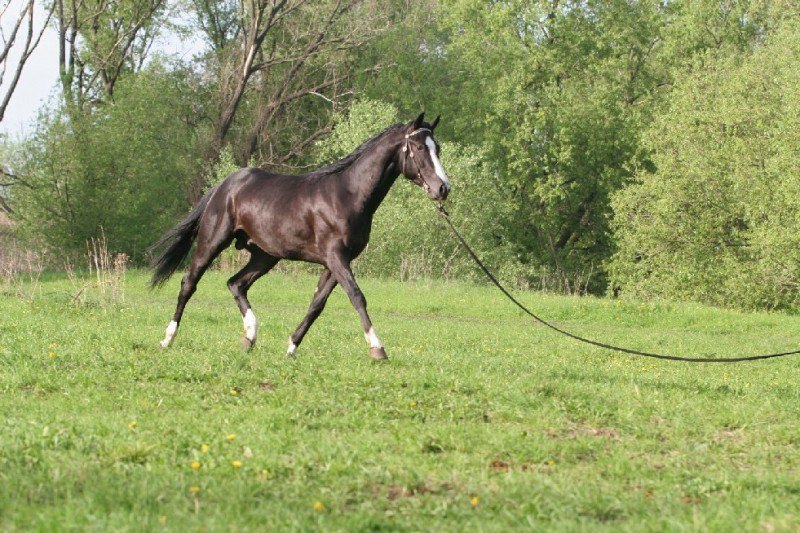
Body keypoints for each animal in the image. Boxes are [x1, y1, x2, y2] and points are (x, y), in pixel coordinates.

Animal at [148, 114, 450, 360]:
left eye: (438, 148)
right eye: (420, 148)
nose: (443, 188)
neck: (347, 195)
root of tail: (223, 186)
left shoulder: (334, 263)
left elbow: (317, 305)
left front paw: (291, 347)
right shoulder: (336, 257)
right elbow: (357, 296)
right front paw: (378, 349)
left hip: (264, 255)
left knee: (236, 284)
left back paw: (249, 337)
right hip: (212, 242)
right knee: (189, 283)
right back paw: (167, 339)